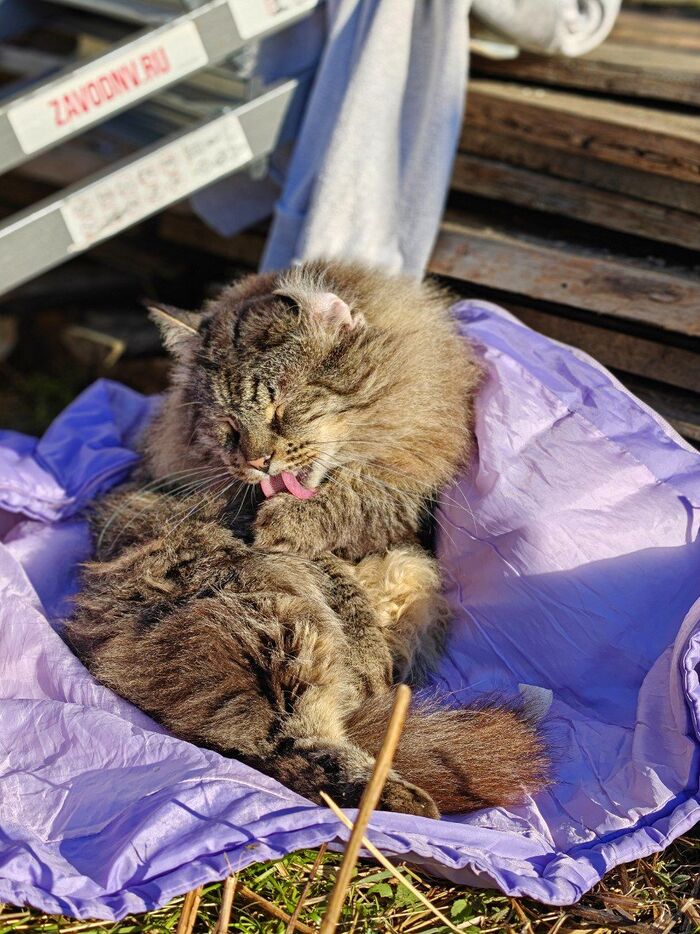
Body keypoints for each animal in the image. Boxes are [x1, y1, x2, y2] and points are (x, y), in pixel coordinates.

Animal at [67, 260, 548, 817]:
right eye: (227, 426)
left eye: (280, 409)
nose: (255, 463)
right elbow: (338, 577)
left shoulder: (408, 488)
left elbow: (358, 502)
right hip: (272, 626)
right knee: (288, 751)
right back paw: (397, 792)